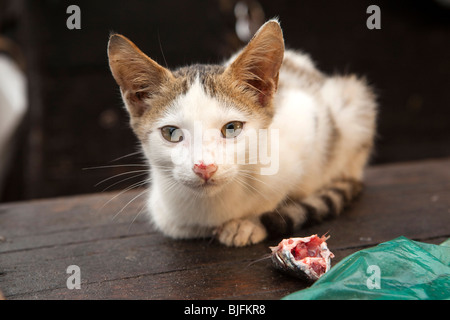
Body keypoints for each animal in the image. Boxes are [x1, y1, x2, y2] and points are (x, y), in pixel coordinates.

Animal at [108, 19, 376, 248]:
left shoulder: (306, 117)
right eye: (172, 133)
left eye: (232, 128)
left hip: (352, 102)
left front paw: (247, 223)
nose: (204, 167)